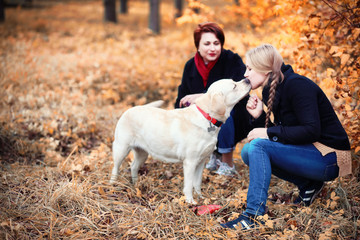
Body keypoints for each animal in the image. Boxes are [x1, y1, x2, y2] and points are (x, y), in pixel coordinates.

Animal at [109, 79, 250, 202]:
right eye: (234, 86)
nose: (247, 80)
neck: (207, 117)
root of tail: (129, 109)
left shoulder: (201, 161)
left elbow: (197, 183)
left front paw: (200, 197)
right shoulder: (190, 162)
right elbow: (188, 185)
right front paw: (190, 201)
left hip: (142, 153)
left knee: (133, 166)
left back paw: (136, 184)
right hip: (121, 148)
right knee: (115, 168)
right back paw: (112, 184)